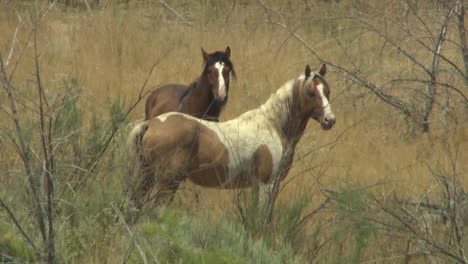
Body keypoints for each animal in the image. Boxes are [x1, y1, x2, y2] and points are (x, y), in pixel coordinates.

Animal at [130, 63, 336, 206]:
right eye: (311, 93)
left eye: (327, 91)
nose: (329, 120)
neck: (273, 125)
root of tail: (150, 124)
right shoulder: (267, 185)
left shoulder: (258, 187)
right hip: (166, 183)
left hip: (148, 177)